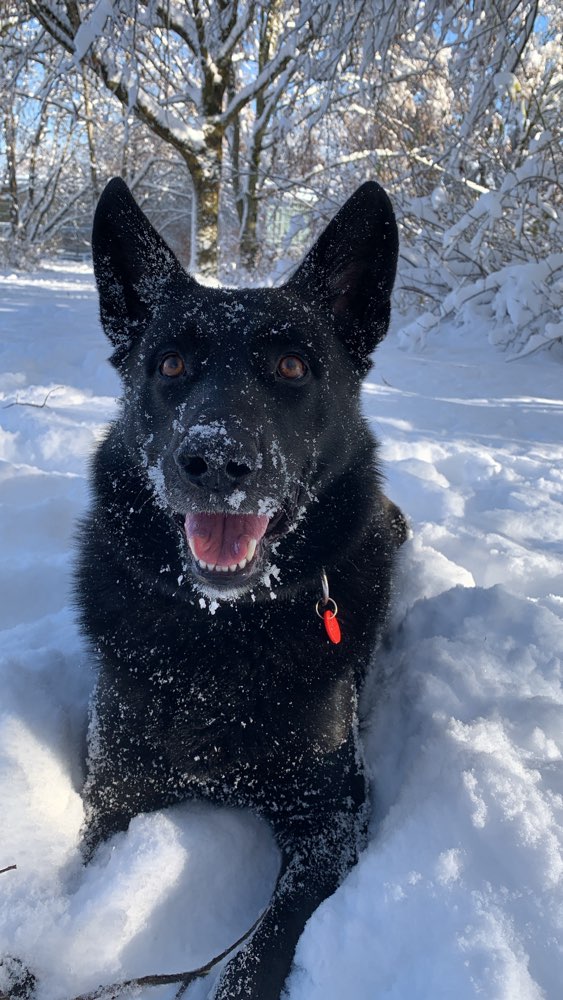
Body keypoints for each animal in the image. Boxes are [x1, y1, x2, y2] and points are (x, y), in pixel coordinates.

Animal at [77, 176, 408, 996]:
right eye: (169, 366)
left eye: (291, 367)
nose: (215, 461)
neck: (219, 636)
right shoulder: (114, 796)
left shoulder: (331, 816)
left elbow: (261, 948)